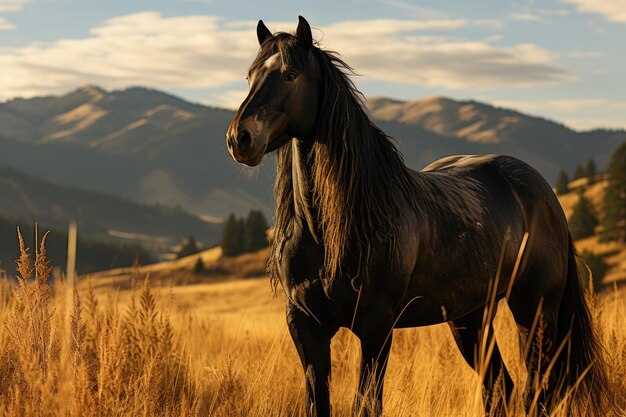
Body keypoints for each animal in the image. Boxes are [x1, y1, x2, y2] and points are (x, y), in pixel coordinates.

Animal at [225, 16, 604, 416]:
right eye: (249, 76)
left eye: (290, 74)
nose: (240, 139)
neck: (326, 232)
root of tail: (543, 192)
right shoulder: (306, 327)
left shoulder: (376, 327)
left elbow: (367, 403)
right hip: (471, 318)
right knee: (501, 389)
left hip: (535, 311)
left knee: (537, 391)